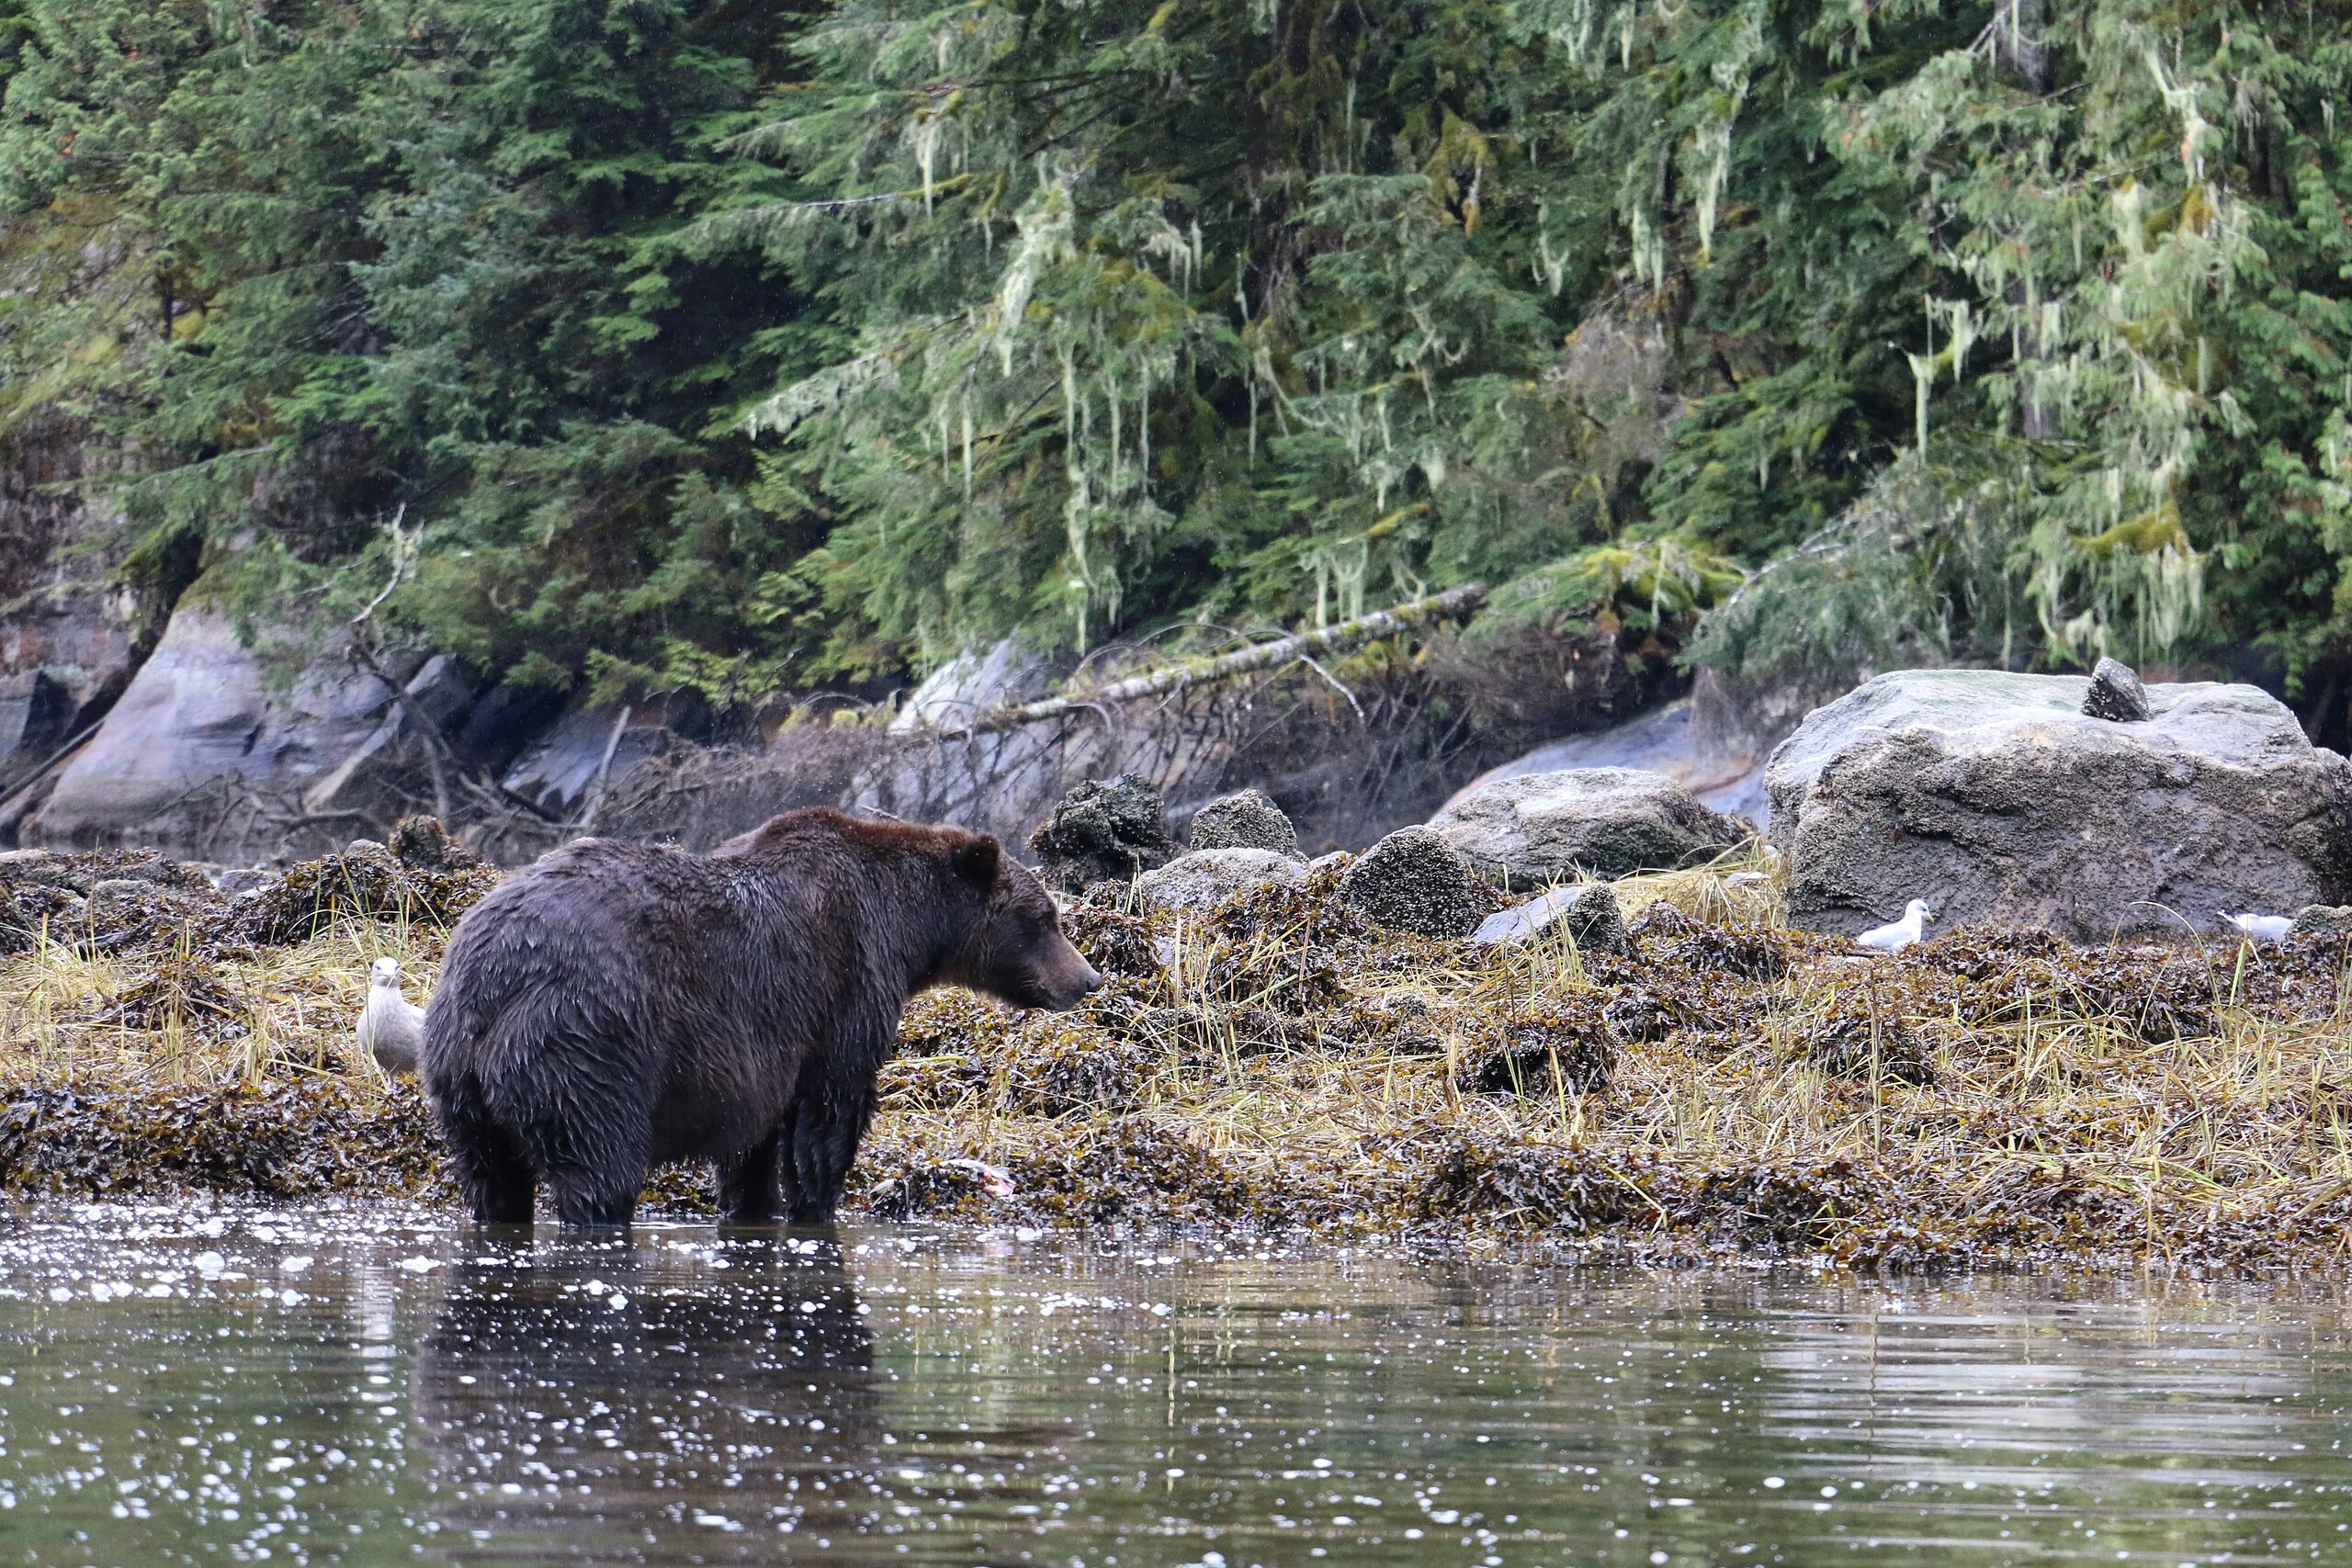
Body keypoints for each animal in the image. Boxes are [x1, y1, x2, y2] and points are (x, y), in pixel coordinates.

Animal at [416, 808, 1101, 1222]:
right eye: (1045, 917)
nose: (1089, 978)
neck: (907, 930)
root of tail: (488, 987)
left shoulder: (763, 1051)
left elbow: (753, 1144)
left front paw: (751, 1205)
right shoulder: (845, 983)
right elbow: (829, 1111)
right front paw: (818, 1204)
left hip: (458, 1079)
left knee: (493, 1180)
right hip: (587, 1039)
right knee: (599, 1168)